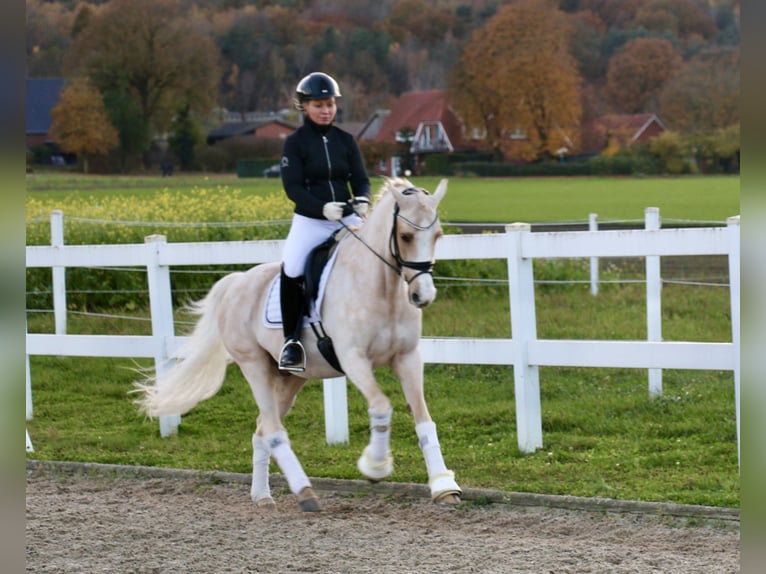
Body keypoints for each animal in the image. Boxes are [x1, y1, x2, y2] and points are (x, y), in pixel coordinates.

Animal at [136, 178, 462, 510]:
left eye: (437, 235)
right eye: (406, 236)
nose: (422, 296)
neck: (382, 288)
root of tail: (236, 282)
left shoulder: (407, 358)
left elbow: (424, 420)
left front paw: (444, 486)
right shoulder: (354, 359)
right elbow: (382, 407)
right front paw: (374, 467)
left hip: (291, 378)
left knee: (262, 429)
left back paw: (263, 495)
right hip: (253, 365)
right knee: (273, 430)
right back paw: (305, 492)